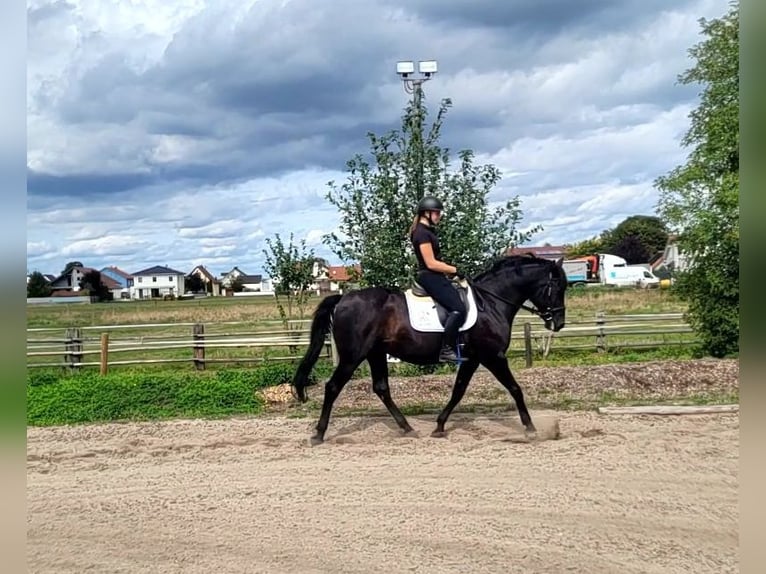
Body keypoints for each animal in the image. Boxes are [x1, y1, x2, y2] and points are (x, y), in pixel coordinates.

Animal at [291, 254, 568, 444]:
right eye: (557, 287)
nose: (558, 323)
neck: (490, 302)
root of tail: (343, 298)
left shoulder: (472, 359)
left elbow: (458, 391)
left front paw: (439, 426)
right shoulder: (493, 356)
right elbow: (515, 388)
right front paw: (531, 428)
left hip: (375, 354)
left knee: (381, 388)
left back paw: (407, 428)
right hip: (353, 357)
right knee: (333, 387)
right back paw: (319, 434)